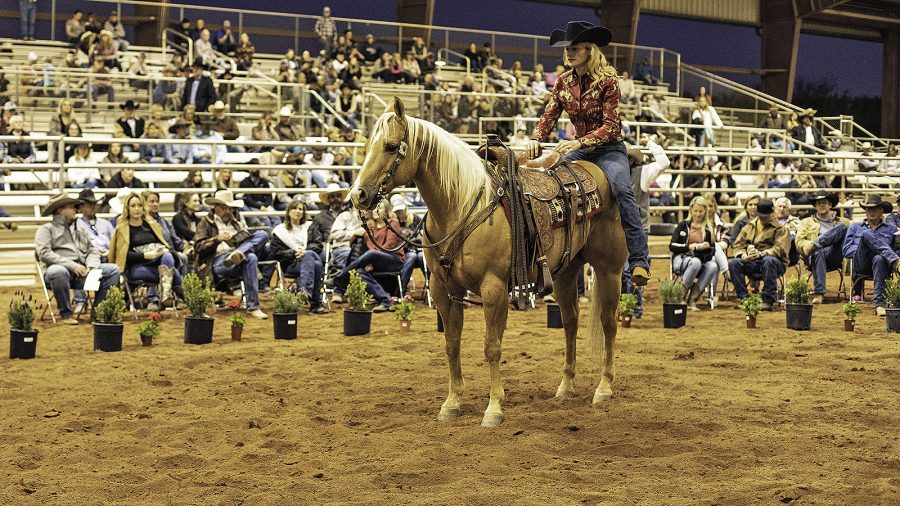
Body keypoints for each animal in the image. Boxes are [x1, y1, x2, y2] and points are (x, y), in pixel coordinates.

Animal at [350, 98, 627, 427]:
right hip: (565, 272)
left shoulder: (493, 288)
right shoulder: (443, 290)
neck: (460, 206)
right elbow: (451, 344)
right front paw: (452, 403)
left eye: (391, 146)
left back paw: (604, 387)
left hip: (609, 270)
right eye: (368, 145)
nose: (358, 195)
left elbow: (492, 346)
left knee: (608, 322)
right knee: (570, 321)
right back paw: (566, 386)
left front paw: (494, 408)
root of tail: (594, 172)